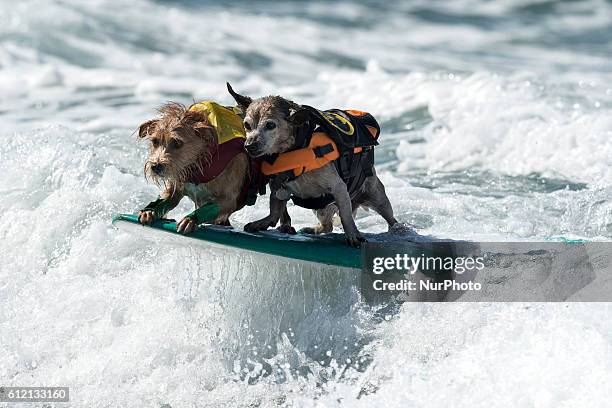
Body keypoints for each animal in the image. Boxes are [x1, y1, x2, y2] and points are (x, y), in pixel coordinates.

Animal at [137, 101, 252, 233]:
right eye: (155, 141)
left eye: (177, 142)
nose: (156, 166)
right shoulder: (177, 184)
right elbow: (167, 198)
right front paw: (150, 210)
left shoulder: (228, 199)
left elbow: (211, 207)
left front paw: (190, 219)